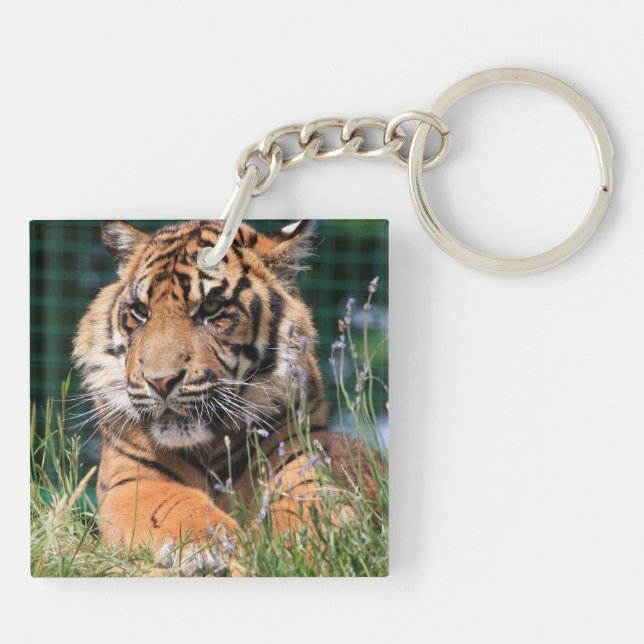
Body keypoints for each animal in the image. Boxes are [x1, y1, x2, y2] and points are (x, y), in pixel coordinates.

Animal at [73, 219, 374, 575]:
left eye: (211, 308)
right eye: (140, 311)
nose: (160, 382)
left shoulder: (303, 472)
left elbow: (308, 513)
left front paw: (299, 553)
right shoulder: (130, 480)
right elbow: (174, 502)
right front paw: (212, 540)